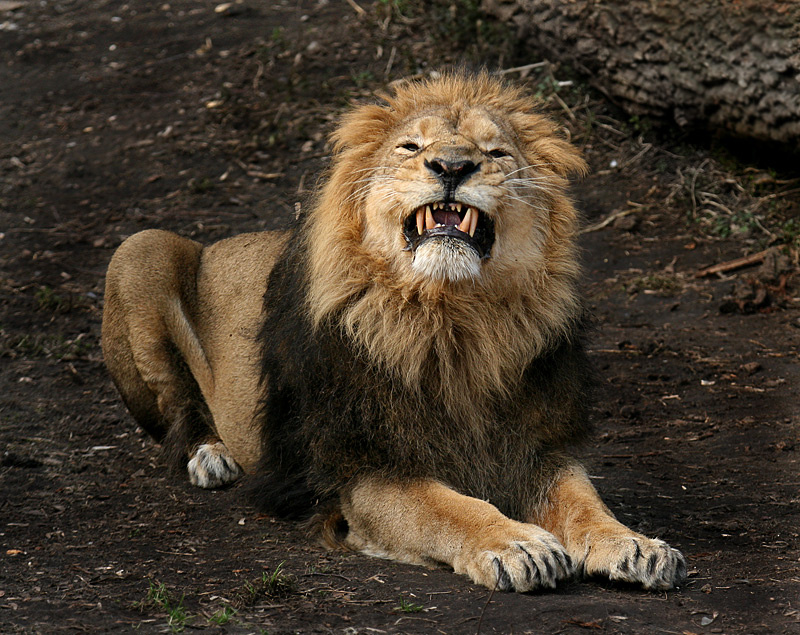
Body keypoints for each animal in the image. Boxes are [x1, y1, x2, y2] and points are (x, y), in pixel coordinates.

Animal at [102, 72, 686, 592]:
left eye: (496, 152)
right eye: (411, 146)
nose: (452, 165)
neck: (453, 321)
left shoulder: (536, 446)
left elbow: (585, 500)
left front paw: (635, 544)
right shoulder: (365, 467)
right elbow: (448, 508)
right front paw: (517, 543)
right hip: (140, 249)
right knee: (178, 410)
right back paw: (211, 455)